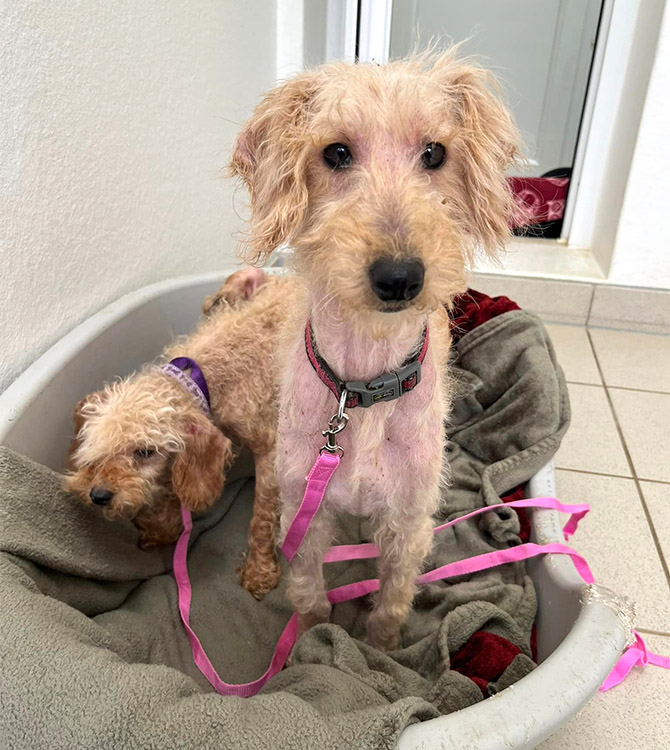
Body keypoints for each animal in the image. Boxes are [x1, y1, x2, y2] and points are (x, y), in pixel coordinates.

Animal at [65, 270, 294, 600]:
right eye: (95, 445)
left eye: (145, 452)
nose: (98, 495)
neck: (204, 375)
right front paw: (160, 530)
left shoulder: (269, 451)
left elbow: (262, 518)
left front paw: (258, 572)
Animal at [234, 51, 524, 652]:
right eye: (336, 152)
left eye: (435, 153)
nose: (399, 278)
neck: (363, 387)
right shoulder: (304, 512)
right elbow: (308, 594)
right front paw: (312, 644)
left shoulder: (409, 522)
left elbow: (393, 600)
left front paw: (380, 650)